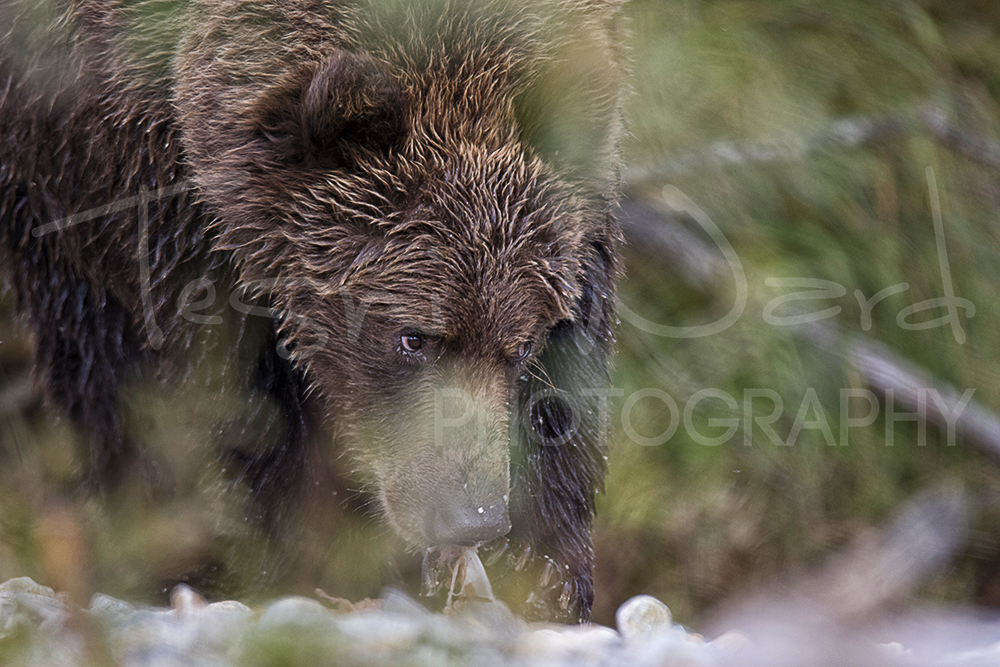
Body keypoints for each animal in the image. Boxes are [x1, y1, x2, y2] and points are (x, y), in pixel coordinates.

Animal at [0, 0, 626, 622]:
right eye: (412, 337)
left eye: (521, 344)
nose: (471, 516)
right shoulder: (137, 178)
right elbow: (216, 382)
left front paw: (544, 566)